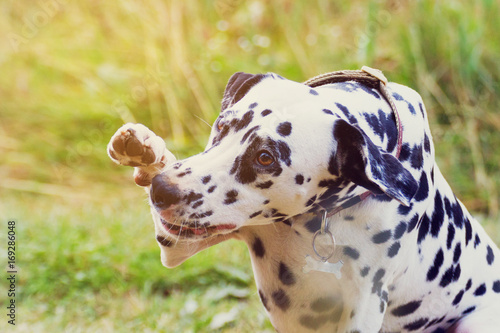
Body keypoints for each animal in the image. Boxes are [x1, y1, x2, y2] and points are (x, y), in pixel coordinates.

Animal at [108, 70, 500, 332]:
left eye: (266, 157)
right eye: (222, 125)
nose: (163, 190)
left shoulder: (364, 303)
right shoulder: (174, 244)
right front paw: (146, 150)